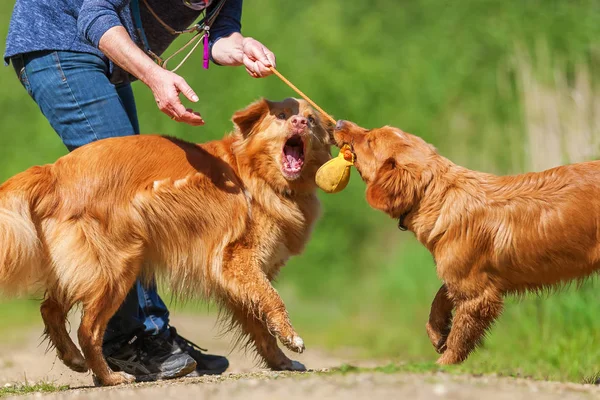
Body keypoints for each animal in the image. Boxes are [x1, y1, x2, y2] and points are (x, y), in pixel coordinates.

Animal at [0, 96, 330, 384]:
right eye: (283, 116)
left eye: (311, 120)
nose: (300, 122)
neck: (256, 174)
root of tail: (54, 171)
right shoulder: (236, 260)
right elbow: (273, 300)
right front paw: (291, 338)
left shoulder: (236, 282)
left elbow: (260, 328)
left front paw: (281, 362)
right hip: (117, 268)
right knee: (88, 330)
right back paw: (110, 377)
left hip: (81, 268)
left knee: (50, 310)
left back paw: (74, 359)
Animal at [332, 119, 600, 366]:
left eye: (370, 140)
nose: (339, 123)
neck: (439, 196)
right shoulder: (462, 276)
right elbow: (440, 296)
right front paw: (437, 331)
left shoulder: (477, 295)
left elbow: (460, 335)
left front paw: (444, 364)